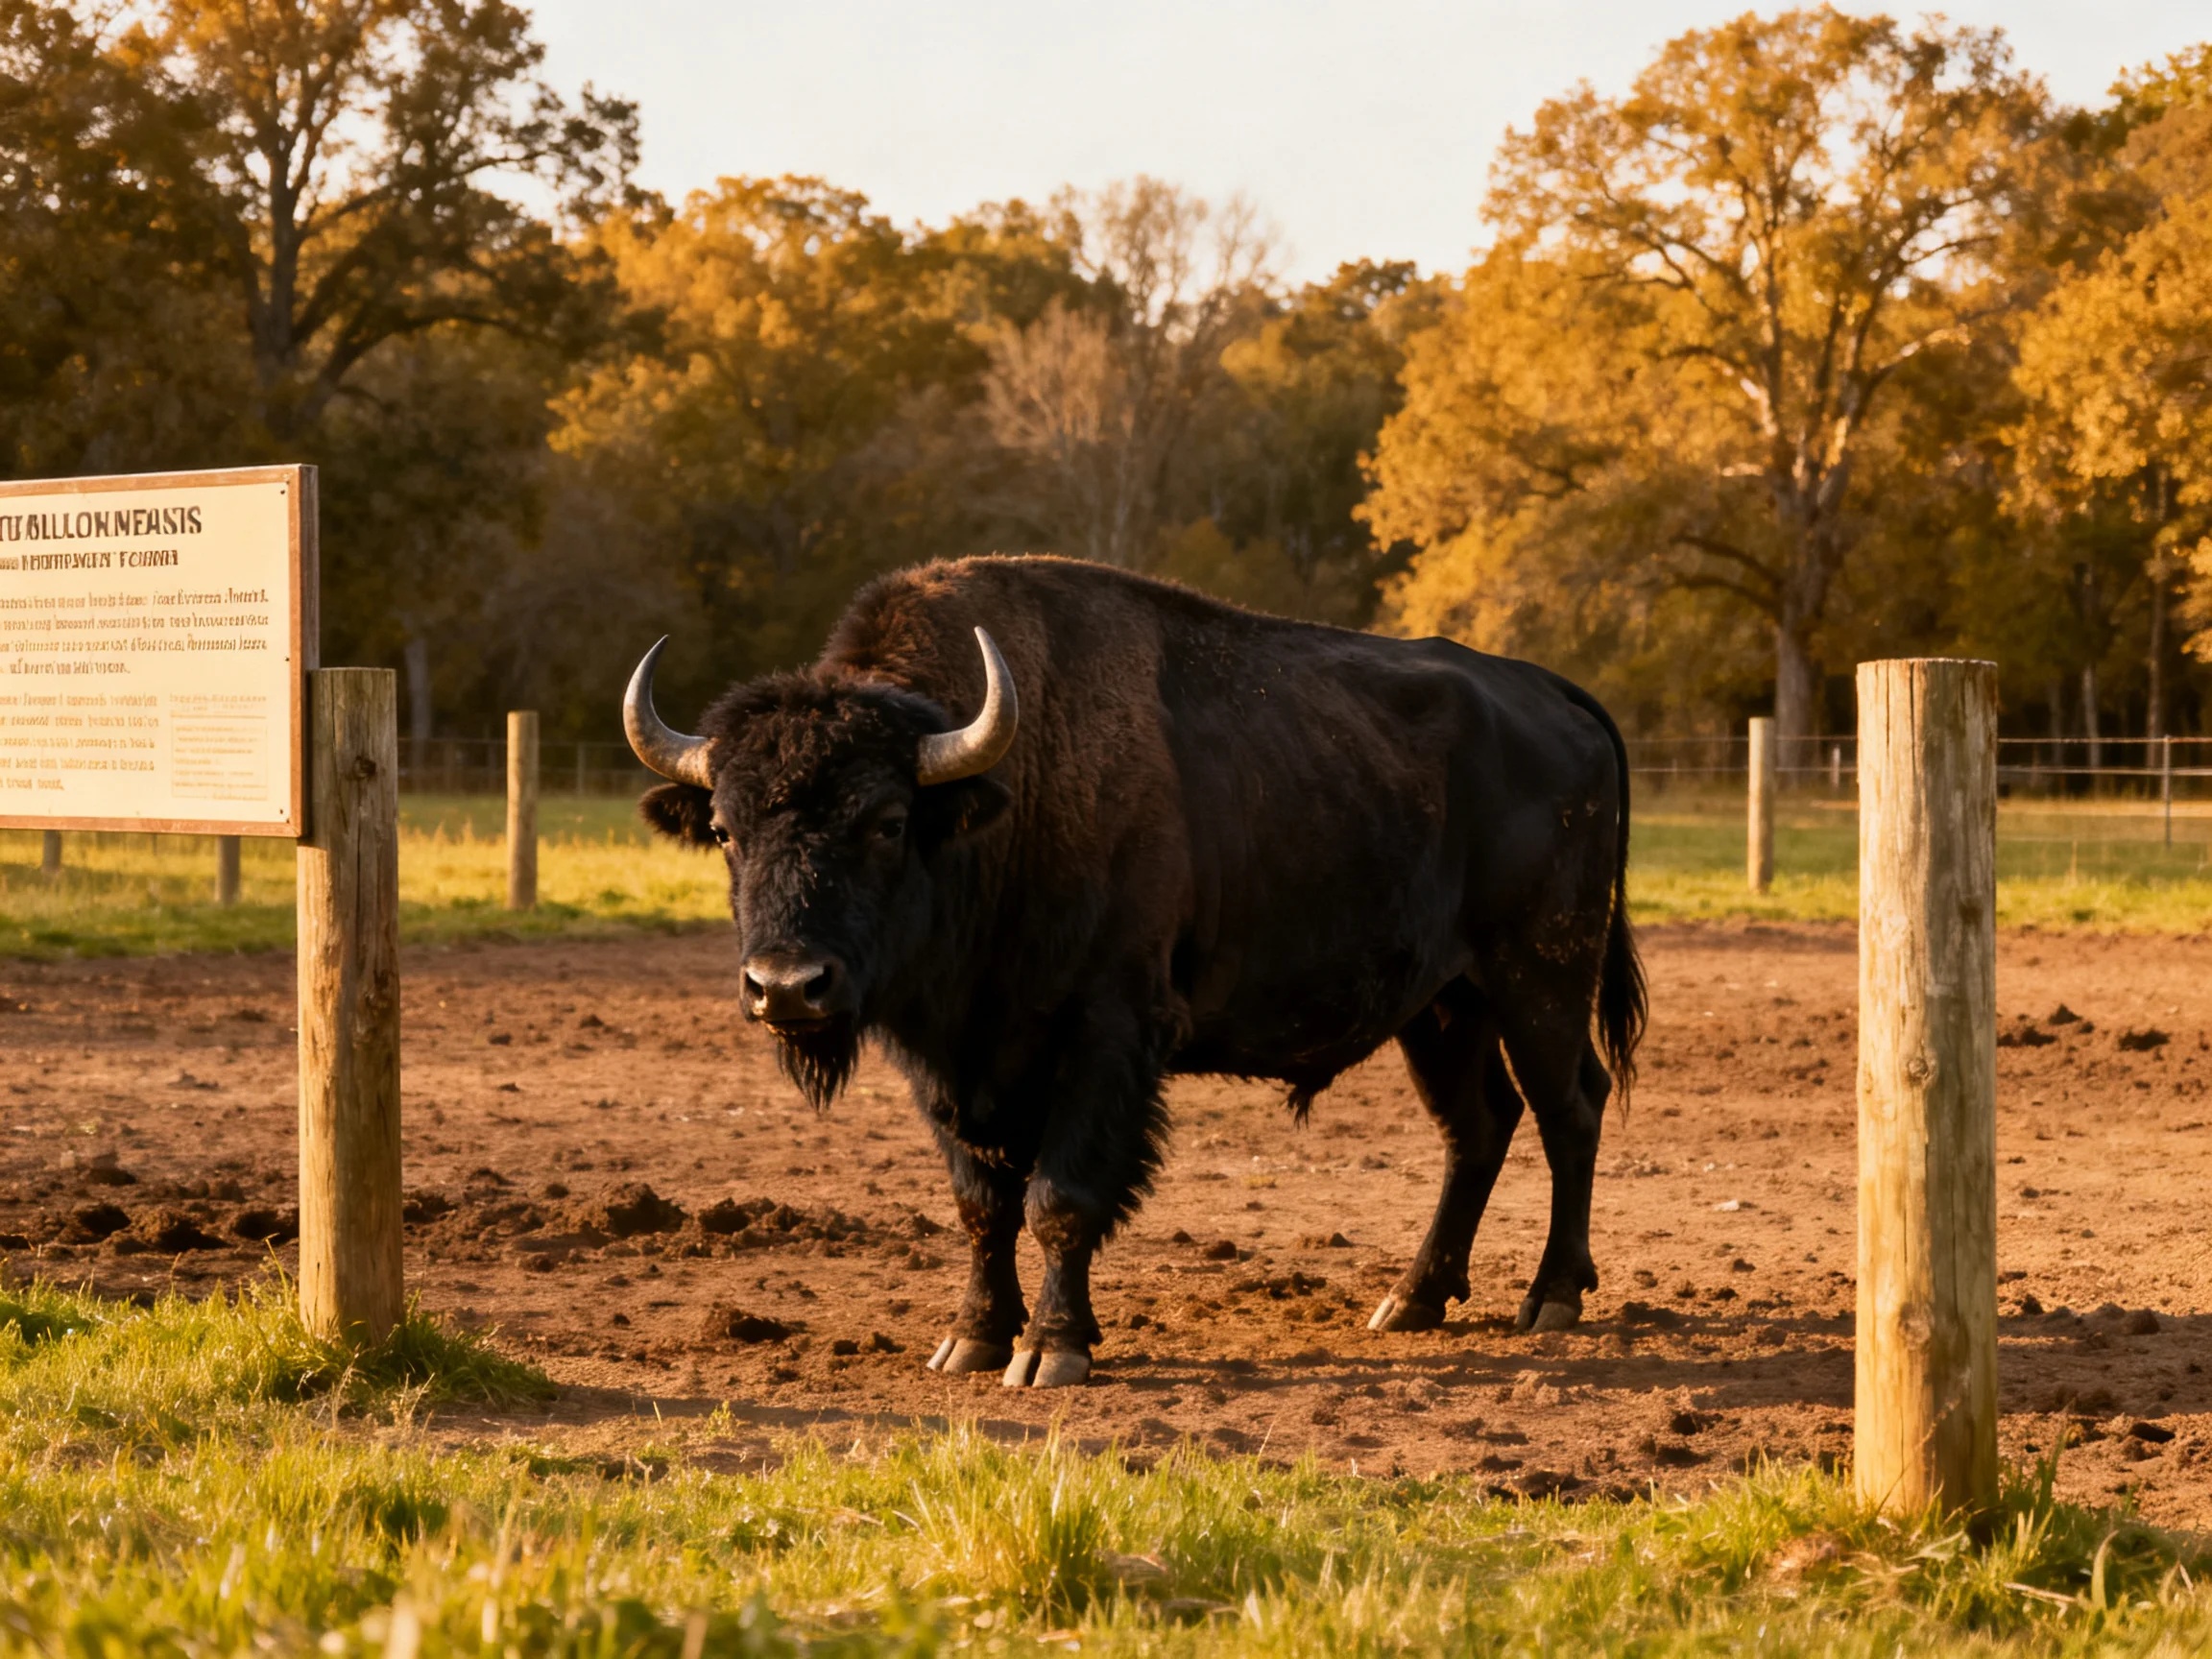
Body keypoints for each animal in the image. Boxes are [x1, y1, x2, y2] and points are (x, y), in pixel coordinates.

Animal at [626, 555, 1644, 1387]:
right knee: (1478, 1126)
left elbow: (1060, 1198)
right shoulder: (952, 1061)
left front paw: (1052, 1351)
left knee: (1569, 1109)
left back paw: (1551, 1298)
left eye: (886, 821)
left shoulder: (1104, 1037)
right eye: (724, 828)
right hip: (1441, 1008)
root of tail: (1553, 695)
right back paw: (1411, 1301)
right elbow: (980, 1203)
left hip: (1540, 979)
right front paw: (971, 1341)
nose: (786, 987)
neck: (1005, 798)